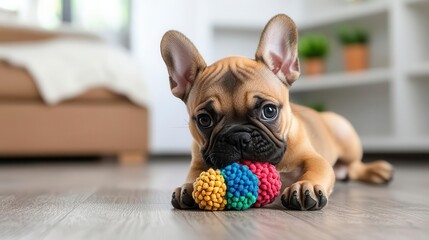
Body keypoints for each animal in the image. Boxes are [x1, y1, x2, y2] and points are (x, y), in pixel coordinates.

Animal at [160, 14, 392, 211]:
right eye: (204, 120)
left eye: (269, 111)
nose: (238, 136)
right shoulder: (198, 161)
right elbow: (194, 175)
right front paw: (189, 187)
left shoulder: (314, 158)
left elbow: (316, 168)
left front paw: (305, 185)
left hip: (345, 134)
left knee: (354, 166)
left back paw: (377, 170)